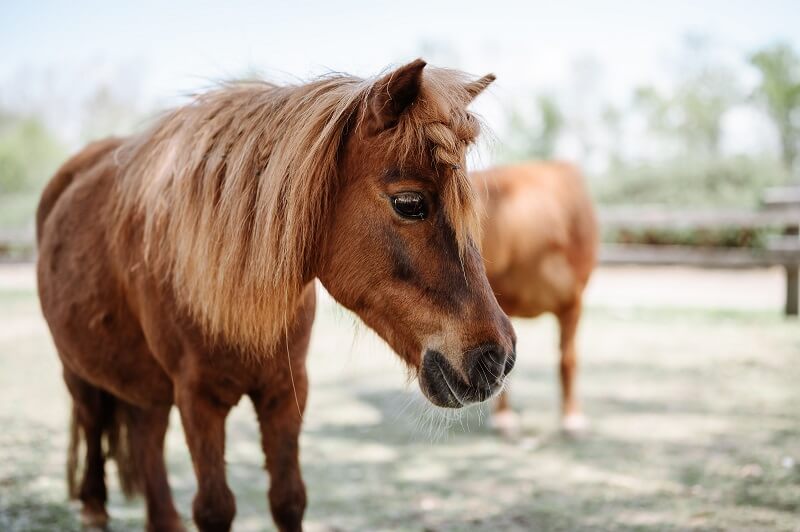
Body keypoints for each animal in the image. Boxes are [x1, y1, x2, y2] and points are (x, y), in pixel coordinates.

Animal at [37, 59, 516, 532]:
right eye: (410, 203)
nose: (498, 357)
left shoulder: (286, 389)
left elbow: (288, 499)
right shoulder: (197, 398)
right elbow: (215, 508)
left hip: (147, 391)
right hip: (77, 373)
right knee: (92, 421)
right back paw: (93, 508)